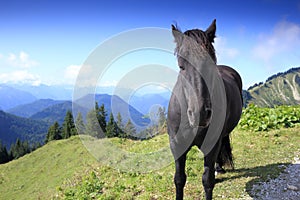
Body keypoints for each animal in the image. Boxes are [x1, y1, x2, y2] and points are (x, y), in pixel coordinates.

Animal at [168, 19, 243, 200]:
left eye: (211, 63)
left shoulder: (212, 144)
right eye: (181, 66)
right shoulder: (177, 145)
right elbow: (179, 179)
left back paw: (218, 168)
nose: (200, 114)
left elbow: (207, 181)